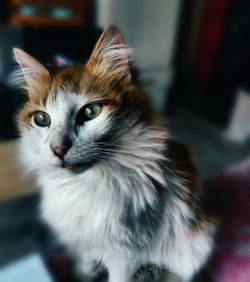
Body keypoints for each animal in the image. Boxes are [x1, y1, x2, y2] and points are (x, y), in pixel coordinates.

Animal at [13, 26, 216, 282]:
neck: (84, 185)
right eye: (42, 119)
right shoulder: (83, 239)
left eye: (91, 111)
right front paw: (83, 273)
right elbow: (86, 261)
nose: (58, 149)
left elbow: (117, 276)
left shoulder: (125, 254)